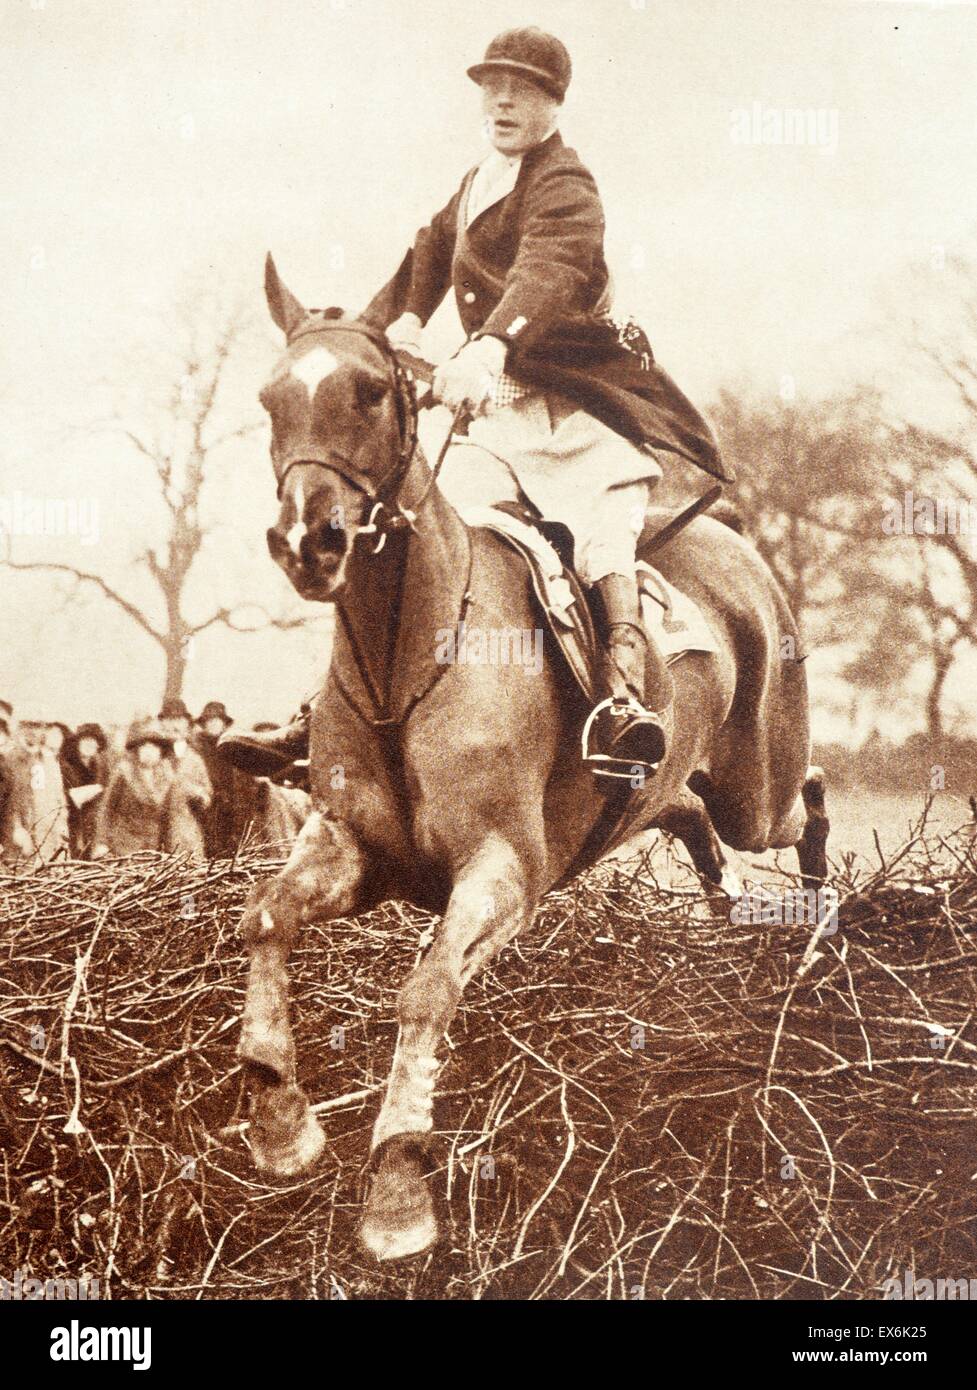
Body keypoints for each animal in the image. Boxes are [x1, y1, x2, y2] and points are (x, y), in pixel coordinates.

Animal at [234, 255, 822, 1267]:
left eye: (370, 391)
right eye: (272, 399)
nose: (309, 542)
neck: (405, 658)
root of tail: (740, 543)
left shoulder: (502, 869)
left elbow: (426, 992)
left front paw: (397, 1189)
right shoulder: (354, 849)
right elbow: (266, 919)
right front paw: (281, 1122)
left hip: (762, 787)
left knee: (801, 800)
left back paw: (819, 903)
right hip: (682, 796)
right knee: (686, 814)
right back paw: (726, 906)